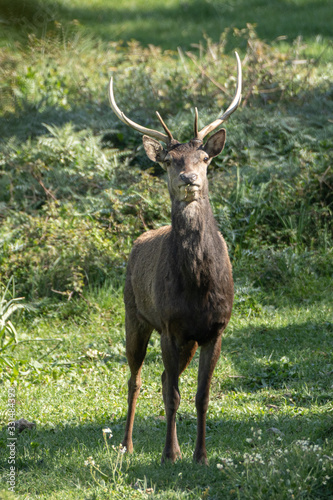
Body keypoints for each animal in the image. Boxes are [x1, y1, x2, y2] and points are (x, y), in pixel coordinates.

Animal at [109, 51, 241, 464]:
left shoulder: (214, 330)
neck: (198, 286)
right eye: (169, 161)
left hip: (185, 341)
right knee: (136, 379)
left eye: (204, 158)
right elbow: (172, 395)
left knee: (165, 377)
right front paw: (170, 453)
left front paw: (200, 455)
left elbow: (200, 395)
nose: (188, 179)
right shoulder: (169, 325)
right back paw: (127, 443)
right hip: (133, 314)